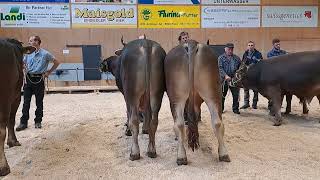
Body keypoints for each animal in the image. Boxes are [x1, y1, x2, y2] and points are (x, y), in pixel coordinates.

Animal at [0, 38, 35, 175]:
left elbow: (11, 121)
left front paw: (12, 141)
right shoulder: (15, 98)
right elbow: (11, 120)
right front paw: (13, 141)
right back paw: (4, 166)